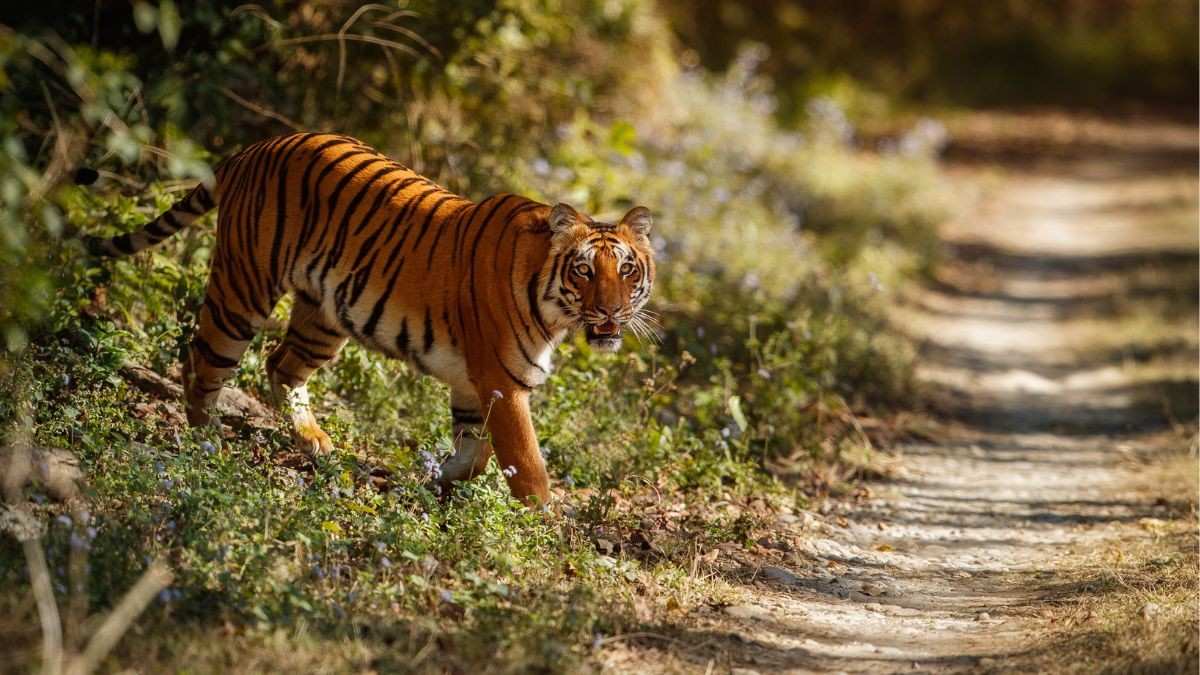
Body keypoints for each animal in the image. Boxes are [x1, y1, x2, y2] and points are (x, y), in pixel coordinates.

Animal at [84, 132, 656, 506]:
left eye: (627, 270)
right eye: (584, 270)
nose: (612, 310)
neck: (554, 308)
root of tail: (256, 147)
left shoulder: (474, 384)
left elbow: (475, 453)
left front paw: (436, 482)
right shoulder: (502, 381)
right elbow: (528, 466)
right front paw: (542, 528)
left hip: (324, 317)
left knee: (280, 364)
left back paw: (314, 443)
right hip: (243, 289)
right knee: (203, 365)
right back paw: (208, 447)